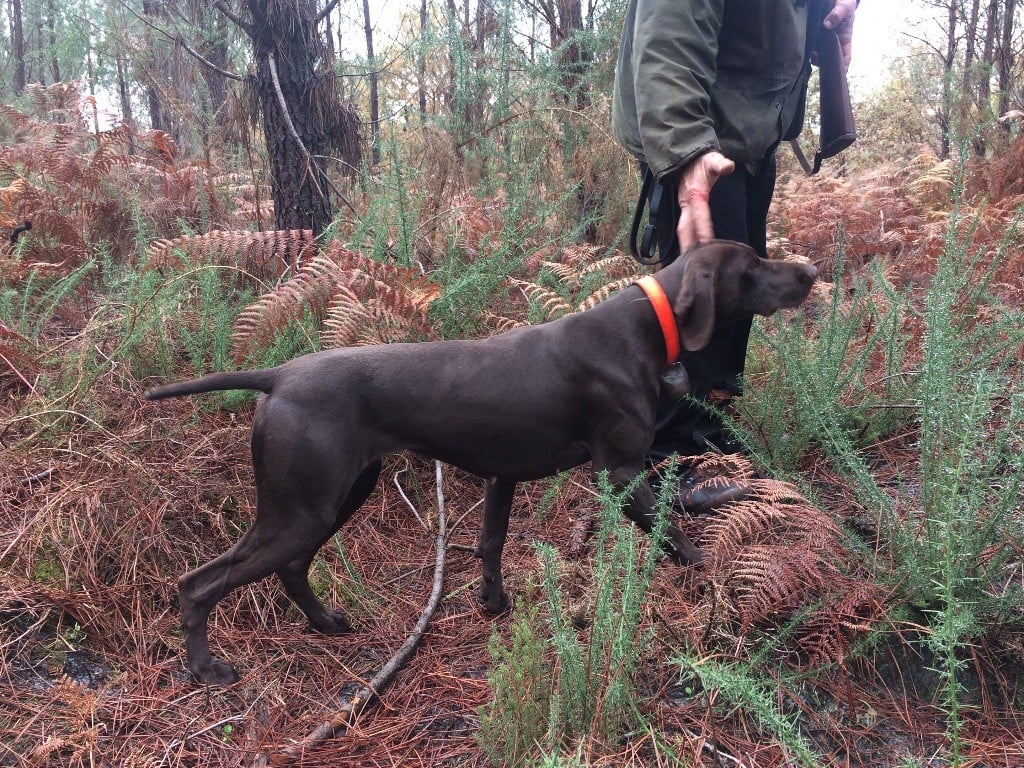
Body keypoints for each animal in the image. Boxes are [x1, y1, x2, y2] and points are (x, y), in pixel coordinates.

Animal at [146, 240, 815, 684]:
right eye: (753, 266)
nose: (809, 271)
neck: (642, 328)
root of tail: (279, 376)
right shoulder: (621, 471)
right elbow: (679, 536)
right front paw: (717, 587)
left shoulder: (503, 474)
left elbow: (491, 543)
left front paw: (493, 604)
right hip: (301, 507)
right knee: (198, 584)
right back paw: (206, 668)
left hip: (338, 494)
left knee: (290, 567)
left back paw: (326, 624)